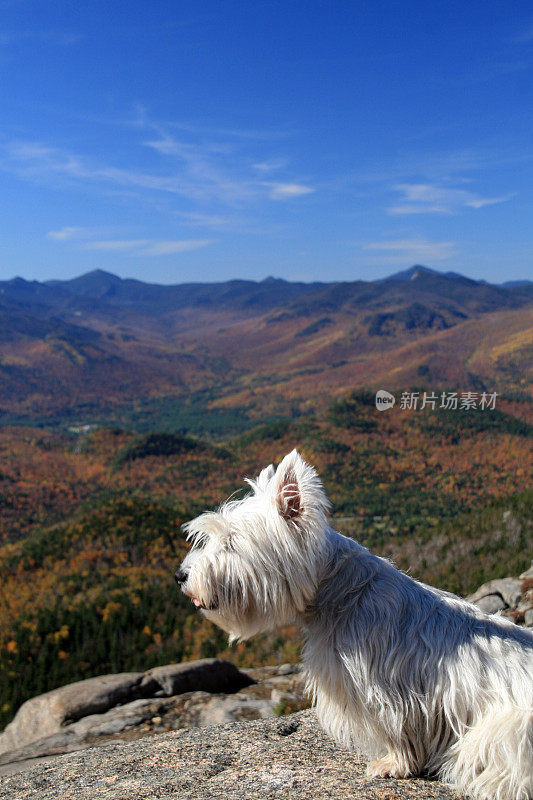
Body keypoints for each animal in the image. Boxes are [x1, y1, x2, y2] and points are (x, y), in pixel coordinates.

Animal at [176, 450, 532, 800]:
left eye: (232, 541)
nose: (181, 576)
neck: (338, 589)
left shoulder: (388, 688)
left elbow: (398, 729)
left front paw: (393, 764)